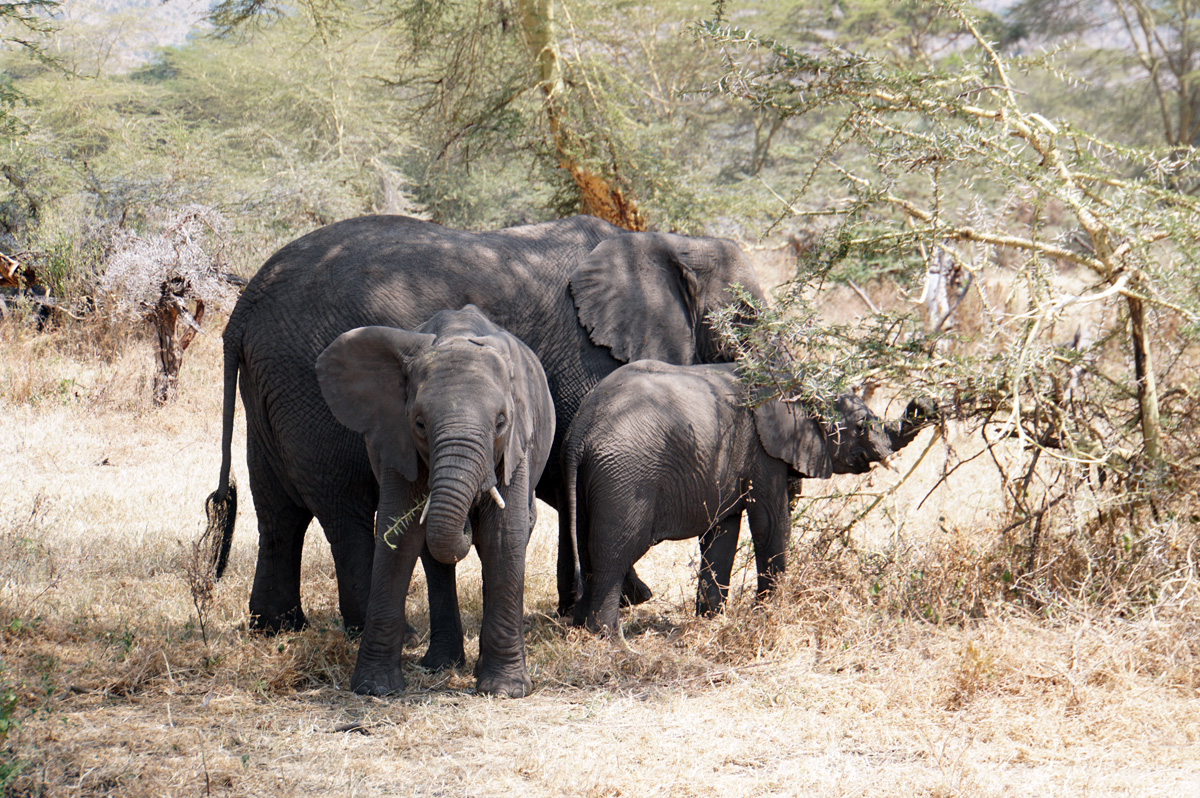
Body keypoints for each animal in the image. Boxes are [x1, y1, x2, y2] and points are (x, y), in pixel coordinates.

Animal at [204, 214, 765, 636]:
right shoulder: (590, 359)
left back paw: (277, 627)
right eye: (747, 318)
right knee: (343, 510)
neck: (668, 242)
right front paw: (622, 601)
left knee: (278, 510)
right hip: (307, 385)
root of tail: (243, 309)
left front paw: (583, 604)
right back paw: (396, 634)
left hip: (273, 388)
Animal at [316, 305, 553, 696]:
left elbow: (503, 536)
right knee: (432, 552)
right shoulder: (396, 439)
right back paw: (441, 664)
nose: (468, 518)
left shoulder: (518, 445)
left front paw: (504, 690)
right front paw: (375, 688)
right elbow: (398, 533)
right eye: (420, 424)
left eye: (501, 422)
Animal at [562, 361, 938, 632]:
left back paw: (581, 629)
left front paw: (710, 622)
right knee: (614, 551)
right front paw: (767, 612)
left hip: (590, 479)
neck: (796, 378)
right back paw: (608, 638)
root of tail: (582, 430)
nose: (925, 402)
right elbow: (770, 522)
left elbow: (723, 532)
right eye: (860, 426)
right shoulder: (764, 453)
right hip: (626, 477)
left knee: (584, 546)